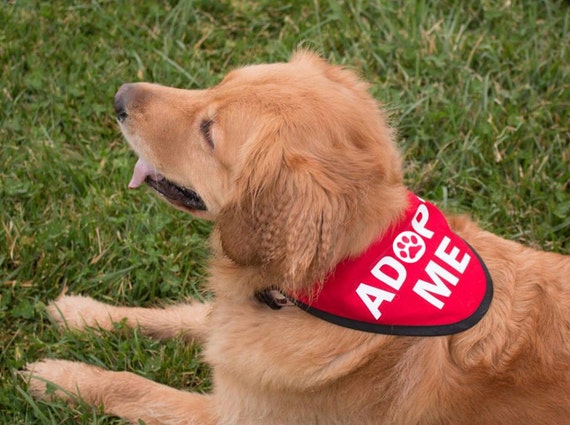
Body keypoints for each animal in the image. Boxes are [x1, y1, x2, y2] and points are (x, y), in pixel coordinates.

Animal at [26, 51, 568, 422]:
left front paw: (58, 378)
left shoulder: (229, 414)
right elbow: (175, 316)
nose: (119, 96)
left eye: (208, 132)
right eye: (215, 85)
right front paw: (82, 312)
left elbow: (136, 387)